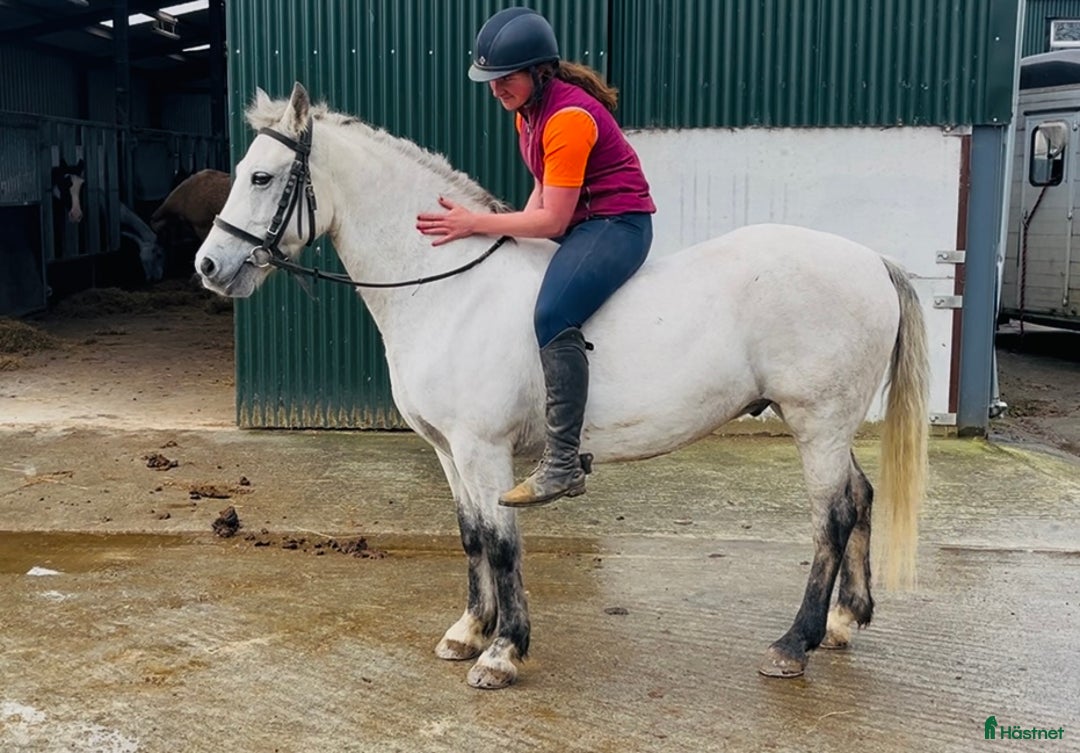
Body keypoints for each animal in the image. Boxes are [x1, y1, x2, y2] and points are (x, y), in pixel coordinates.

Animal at [195, 83, 930, 689]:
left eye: (261, 176)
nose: (208, 266)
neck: (447, 288)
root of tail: (870, 259)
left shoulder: (483, 448)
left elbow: (502, 541)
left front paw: (503, 653)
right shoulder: (448, 450)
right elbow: (470, 535)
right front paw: (469, 632)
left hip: (817, 421)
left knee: (831, 518)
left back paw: (793, 643)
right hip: (827, 424)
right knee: (860, 497)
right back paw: (844, 622)